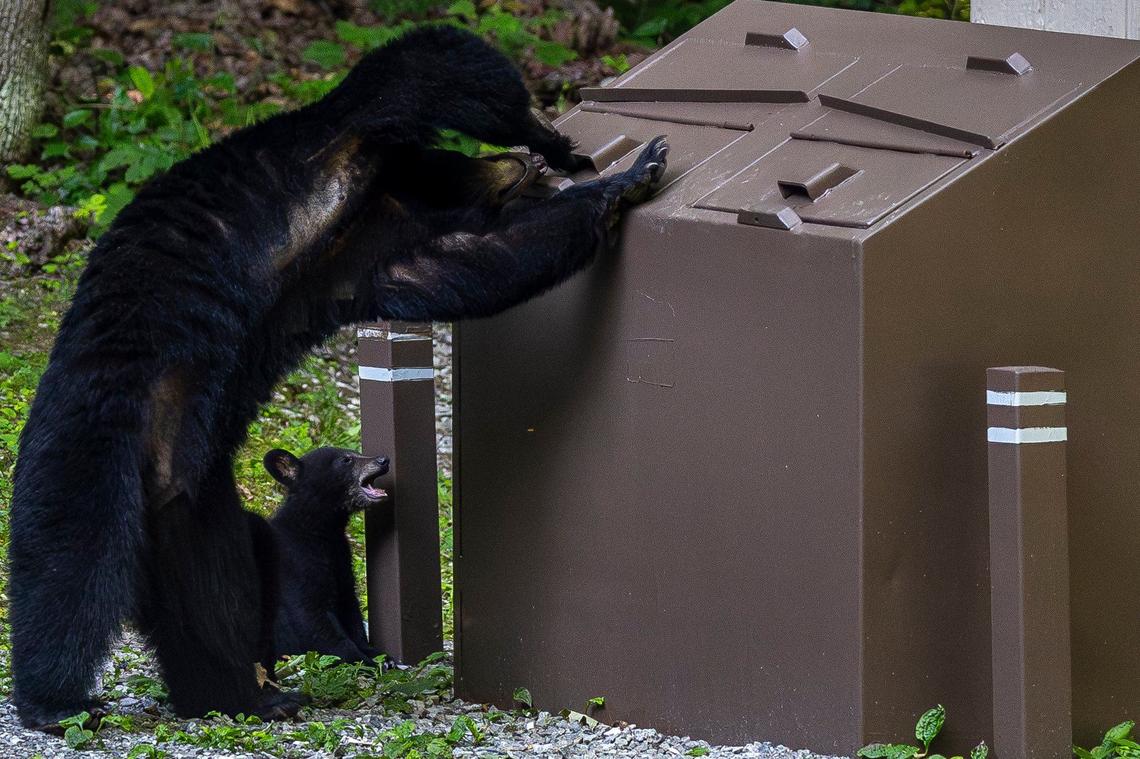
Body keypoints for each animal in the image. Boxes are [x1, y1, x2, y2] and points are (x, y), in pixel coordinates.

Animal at [254, 447, 390, 670]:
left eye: (354, 452)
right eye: (346, 460)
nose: (383, 460)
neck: (320, 531)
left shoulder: (341, 561)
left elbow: (350, 607)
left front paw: (380, 655)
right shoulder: (294, 566)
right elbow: (312, 618)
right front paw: (363, 661)